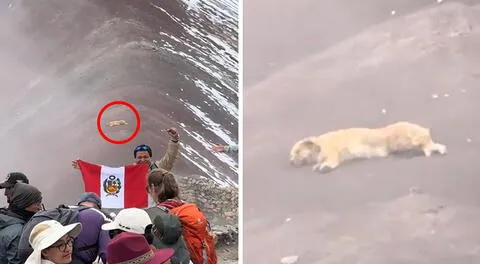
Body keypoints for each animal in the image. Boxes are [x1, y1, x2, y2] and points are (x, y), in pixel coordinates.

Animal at [288, 121, 450, 173]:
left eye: (297, 151)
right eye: (292, 154)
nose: (290, 162)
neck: (318, 145)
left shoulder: (330, 148)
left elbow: (331, 159)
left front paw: (325, 166)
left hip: (399, 136)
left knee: (419, 136)